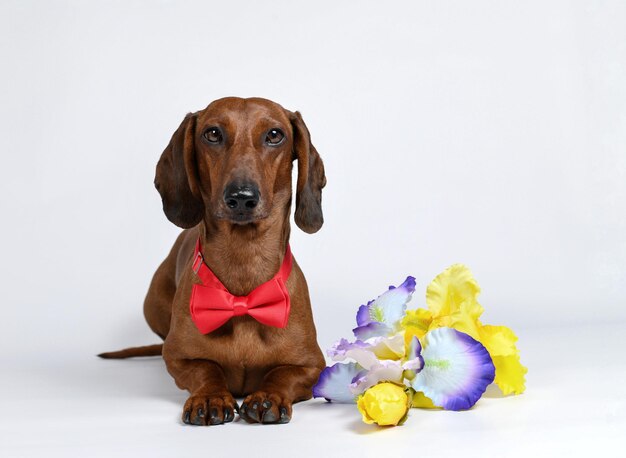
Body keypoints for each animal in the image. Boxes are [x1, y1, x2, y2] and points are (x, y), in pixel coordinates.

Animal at [100, 96, 324, 426]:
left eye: (274, 135)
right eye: (213, 133)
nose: (241, 197)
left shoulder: (312, 365)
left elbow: (282, 375)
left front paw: (267, 395)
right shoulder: (179, 358)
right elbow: (206, 369)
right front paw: (210, 396)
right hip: (151, 305)